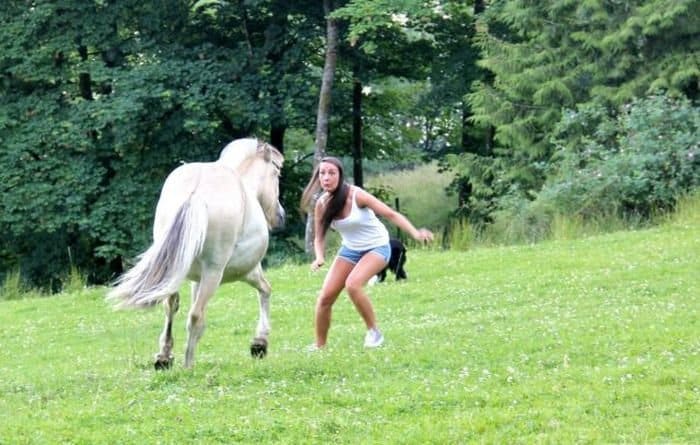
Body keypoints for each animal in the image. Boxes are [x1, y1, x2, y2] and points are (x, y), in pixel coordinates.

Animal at [107, 138, 284, 369]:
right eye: (277, 172)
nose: (280, 216)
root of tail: (195, 193)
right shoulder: (248, 271)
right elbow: (265, 290)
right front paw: (259, 343)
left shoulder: (195, 278)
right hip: (214, 274)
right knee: (196, 315)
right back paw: (188, 366)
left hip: (175, 270)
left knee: (170, 305)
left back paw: (164, 357)